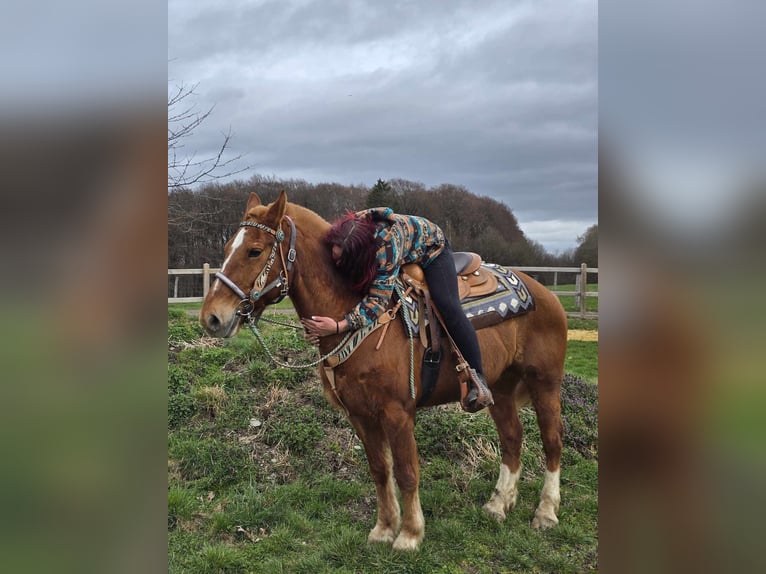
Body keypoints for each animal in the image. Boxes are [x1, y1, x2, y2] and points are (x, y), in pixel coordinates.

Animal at [199, 191, 568, 551]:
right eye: (226, 248)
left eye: (254, 250)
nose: (212, 318)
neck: (358, 314)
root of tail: (543, 292)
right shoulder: (360, 414)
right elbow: (380, 469)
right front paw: (384, 528)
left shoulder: (398, 413)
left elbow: (406, 471)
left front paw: (410, 534)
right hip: (501, 388)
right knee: (512, 438)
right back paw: (499, 504)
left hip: (545, 384)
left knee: (551, 442)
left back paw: (546, 512)